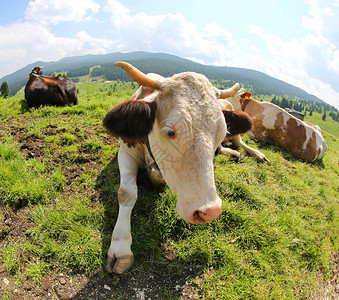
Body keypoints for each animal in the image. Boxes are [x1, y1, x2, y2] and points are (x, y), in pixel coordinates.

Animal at [103, 62, 262, 274]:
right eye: (170, 132)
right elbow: (126, 193)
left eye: (221, 133)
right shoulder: (125, 152)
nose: (209, 211)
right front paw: (120, 248)